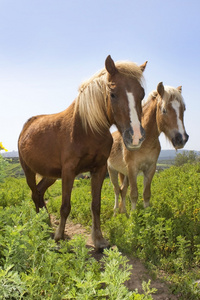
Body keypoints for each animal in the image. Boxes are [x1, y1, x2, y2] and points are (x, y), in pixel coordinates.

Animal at [18, 55, 147, 250]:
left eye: (142, 94)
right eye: (113, 93)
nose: (136, 137)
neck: (87, 129)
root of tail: (26, 127)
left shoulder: (99, 169)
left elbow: (96, 205)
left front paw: (99, 240)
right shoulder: (69, 171)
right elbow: (65, 206)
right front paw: (59, 238)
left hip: (51, 175)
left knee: (39, 192)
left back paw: (46, 222)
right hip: (29, 172)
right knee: (34, 193)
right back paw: (43, 227)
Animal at [107, 82, 188, 213]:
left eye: (183, 109)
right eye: (164, 110)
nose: (182, 139)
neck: (145, 142)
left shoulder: (150, 169)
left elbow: (146, 194)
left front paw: (146, 213)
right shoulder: (132, 169)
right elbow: (134, 194)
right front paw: (133, 216)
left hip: (124, 173)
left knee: (123, 190)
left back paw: (123, 212)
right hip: (112, 170)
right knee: (116, 190)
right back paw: (115, 212)